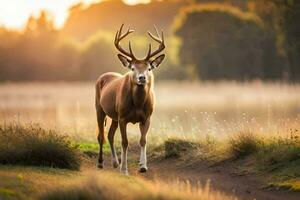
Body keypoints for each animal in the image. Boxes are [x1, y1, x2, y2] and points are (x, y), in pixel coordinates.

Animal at [95, 23, 165, 174]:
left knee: (109, 135)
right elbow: (125, 142)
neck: (137, 104)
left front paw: (143, 166)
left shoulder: (146, 117)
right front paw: (124, 169)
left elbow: (143, 140)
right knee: (101, 135)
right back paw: (100, 163)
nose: (142, 78)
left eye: (149, 68)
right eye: (133, 68)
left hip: (114, 116)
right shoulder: (123, 117)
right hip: (99, 108)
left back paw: (115, 163)